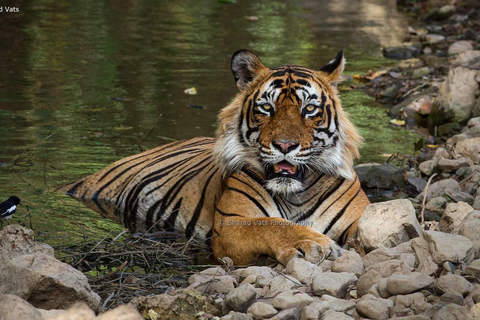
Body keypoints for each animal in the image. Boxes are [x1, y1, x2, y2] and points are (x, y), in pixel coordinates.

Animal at [59, 50, 368, 264]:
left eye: (309, 109)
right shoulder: (231, 224)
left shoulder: (357, 218)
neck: (296, 194)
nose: (284, 145)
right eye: (267, 108)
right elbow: (272, 226)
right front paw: (314, 243)